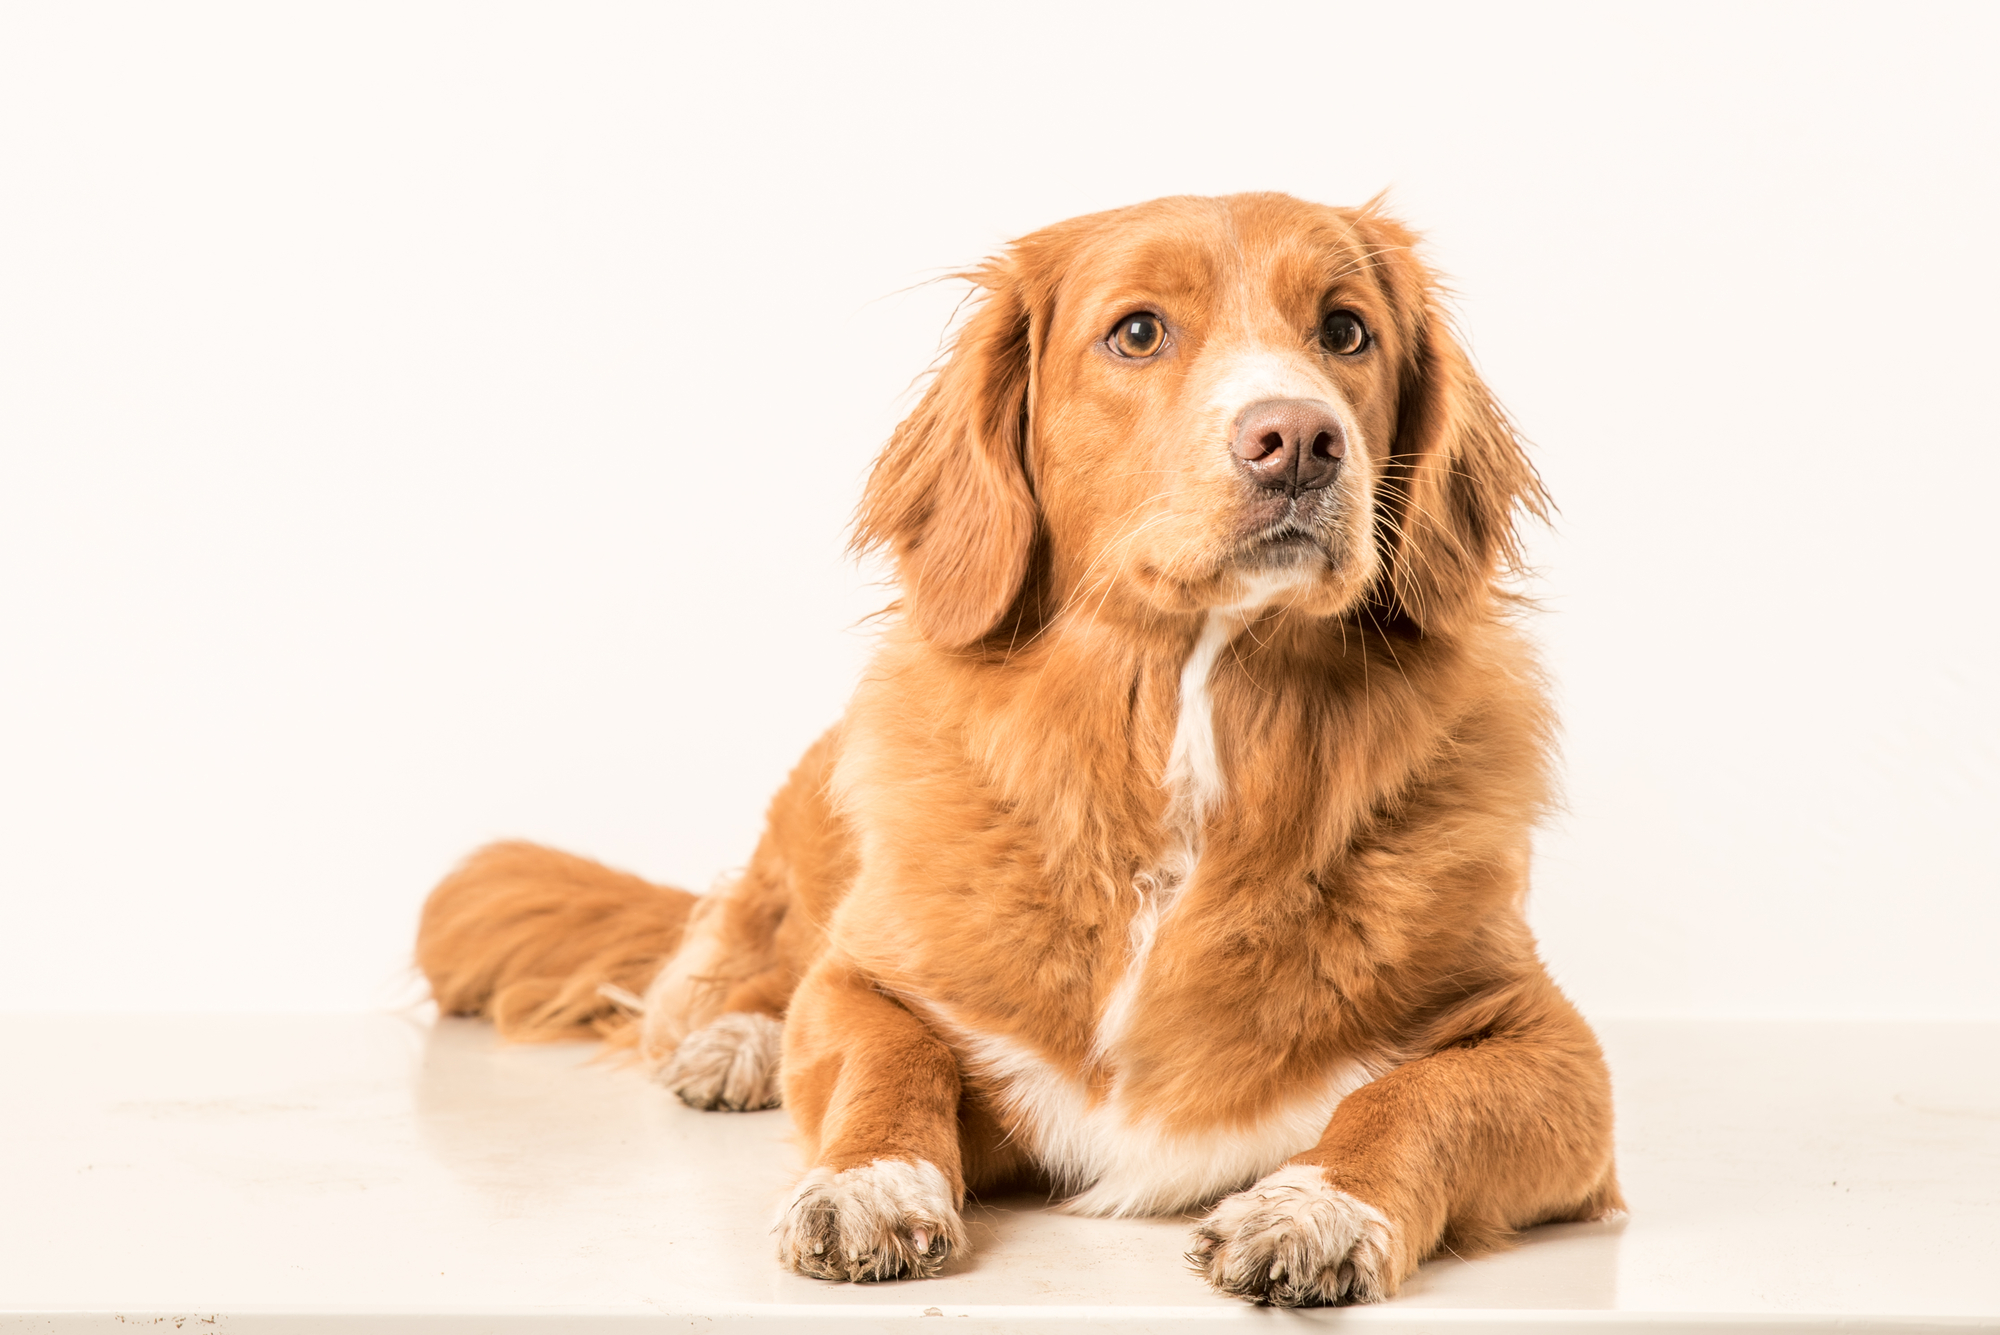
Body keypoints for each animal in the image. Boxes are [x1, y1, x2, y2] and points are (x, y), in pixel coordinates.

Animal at [418, 192, 1624, 1311]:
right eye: (1136, 333)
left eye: (1344, 331)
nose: (1298, 439)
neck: (1185, 745)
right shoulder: (868, 978)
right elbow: (884, 1049)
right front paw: (871, 1181)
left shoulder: (1555, 1050)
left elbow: (1409, 1098)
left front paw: (1314, 1206)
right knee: (732, 958)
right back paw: (731, 1042)